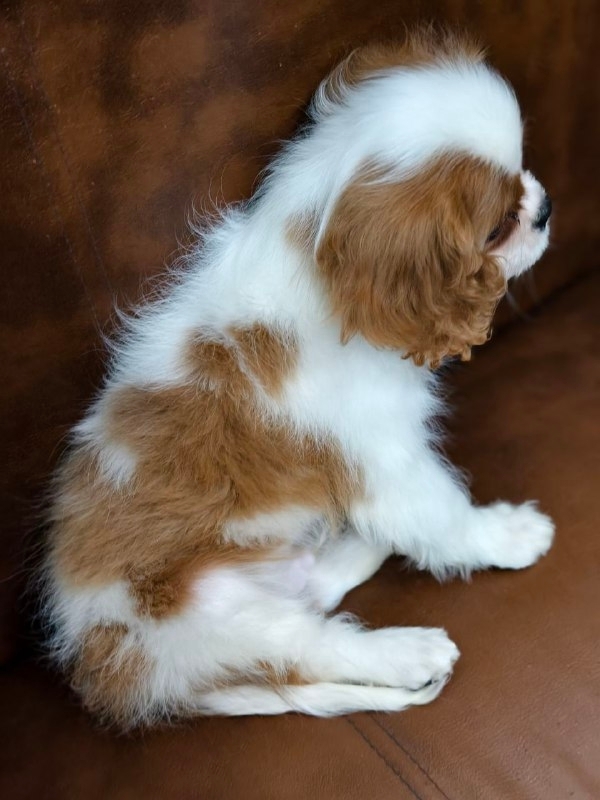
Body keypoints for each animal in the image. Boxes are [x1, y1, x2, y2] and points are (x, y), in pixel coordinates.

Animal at [44, 29, 554, 727]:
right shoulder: (386, 461)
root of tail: (106, 676)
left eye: (524, 173)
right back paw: (407, 651)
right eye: (498, 225)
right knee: (310, 645)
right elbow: (443, 517)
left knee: (313, 588)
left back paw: (357, 549)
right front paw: (506, 533)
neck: (316, 257)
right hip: (212, 616)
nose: (546, 208)